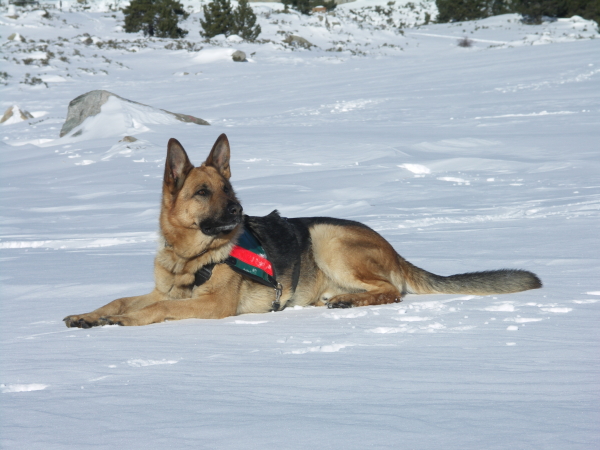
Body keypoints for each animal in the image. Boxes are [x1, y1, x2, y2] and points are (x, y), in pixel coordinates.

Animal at [64, 134, 542, 328]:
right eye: (203, 192)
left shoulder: (211, 306)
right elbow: (122, 299)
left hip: (327, 237)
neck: (190, 257)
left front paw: (121, 322)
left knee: (390, 289)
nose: (238, 210)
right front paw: (91, 315)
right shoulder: (165, 289)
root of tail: (392, 247)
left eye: (229, 188)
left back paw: (347, 301)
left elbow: (155, 309)